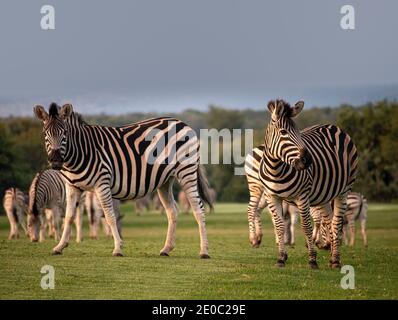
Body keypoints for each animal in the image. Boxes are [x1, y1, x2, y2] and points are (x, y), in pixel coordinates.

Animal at [34, 102, 213, 258]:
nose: (55, 161)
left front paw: (118, 248)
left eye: (64, 133)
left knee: (198, 210)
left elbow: (109, 216)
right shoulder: (72, 187)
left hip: (186, 171)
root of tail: (182, 123)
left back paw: (204, 251)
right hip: (165, 180)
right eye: (45, 134)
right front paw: (59, 246)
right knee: (172, 211)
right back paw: (166, 249)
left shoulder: (102, 183)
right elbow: (69, 217)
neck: (80, 151)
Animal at [258, 99, 358, 268]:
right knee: (329, 222)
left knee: (336, 223)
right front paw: (281, 258)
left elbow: (306, 226)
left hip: (344, 190)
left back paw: (336, 260)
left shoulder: (302, 196)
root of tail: (333, 126)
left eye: (299, 132)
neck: (275, 169)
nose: (308, 160)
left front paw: (312, 259)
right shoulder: (271, 196)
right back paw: (331, 256)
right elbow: (279, 226)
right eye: (283, 132)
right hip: (324, 195)